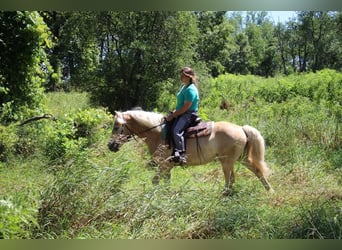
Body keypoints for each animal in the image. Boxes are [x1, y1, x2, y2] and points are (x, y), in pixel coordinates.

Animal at [108, 110, 274, 195]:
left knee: (230, 179)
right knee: (256, 171)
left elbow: (154, 181)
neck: (157, 133)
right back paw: (269, 190)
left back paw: (224, 194)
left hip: (227, 161)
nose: (110, 146)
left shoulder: (163, 164)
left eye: (116, 126)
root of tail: (241, 128)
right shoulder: (167, 166)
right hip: (239, 159)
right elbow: (166, 182)